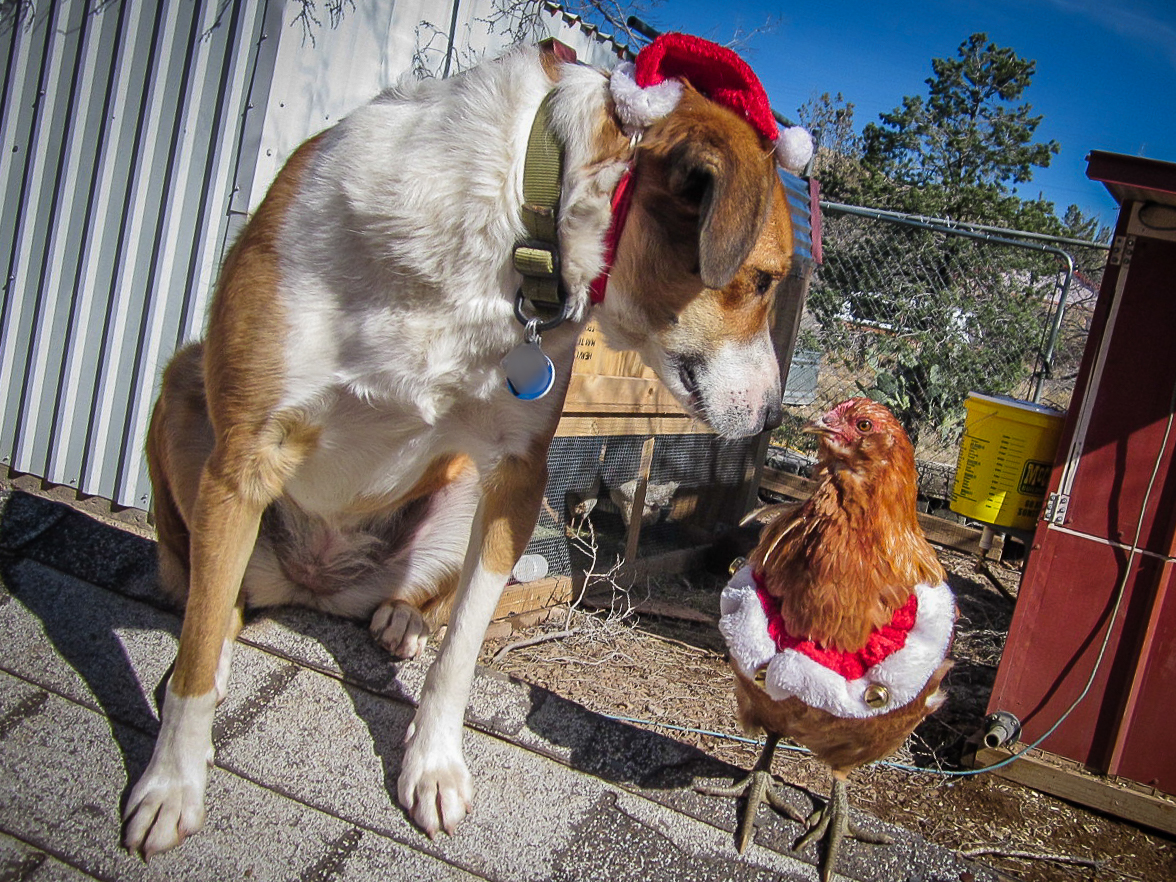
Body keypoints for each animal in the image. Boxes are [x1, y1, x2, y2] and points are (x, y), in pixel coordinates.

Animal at [123, 34, 801, 856]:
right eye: (763, 281)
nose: (774, 415)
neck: (515, 221)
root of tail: (315, 588)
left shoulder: (515, 476)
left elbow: (465, 647)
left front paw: (433, 765)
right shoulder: (247, 454)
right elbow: (191, 661)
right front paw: (170, 784)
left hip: (456, 495)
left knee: (419, 598)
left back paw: (402, 619)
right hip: (186, 397)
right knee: (205, 596)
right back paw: (217, 632)